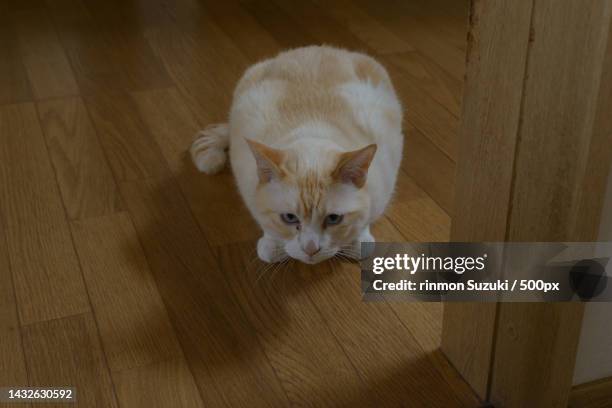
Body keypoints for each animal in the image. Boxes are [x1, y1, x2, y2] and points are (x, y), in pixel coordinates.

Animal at [190, 45, 402, 264]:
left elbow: (364, 227)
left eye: (333, 219)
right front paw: (273, 246)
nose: (311, 249)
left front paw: (358, 242)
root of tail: (317, 48)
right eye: (289, 218)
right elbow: (267, 227)